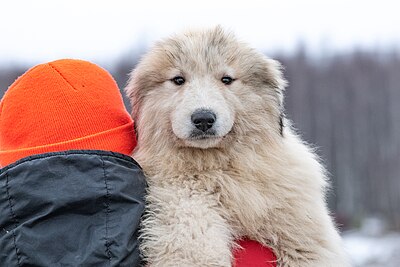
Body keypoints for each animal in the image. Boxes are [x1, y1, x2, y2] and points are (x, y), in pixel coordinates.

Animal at [126, 26, 350, 266]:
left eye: (226, 79)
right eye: (178, 80)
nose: (203, 119)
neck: (220, 168)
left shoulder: (302, 224)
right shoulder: (182, 203)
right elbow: (194, 244)